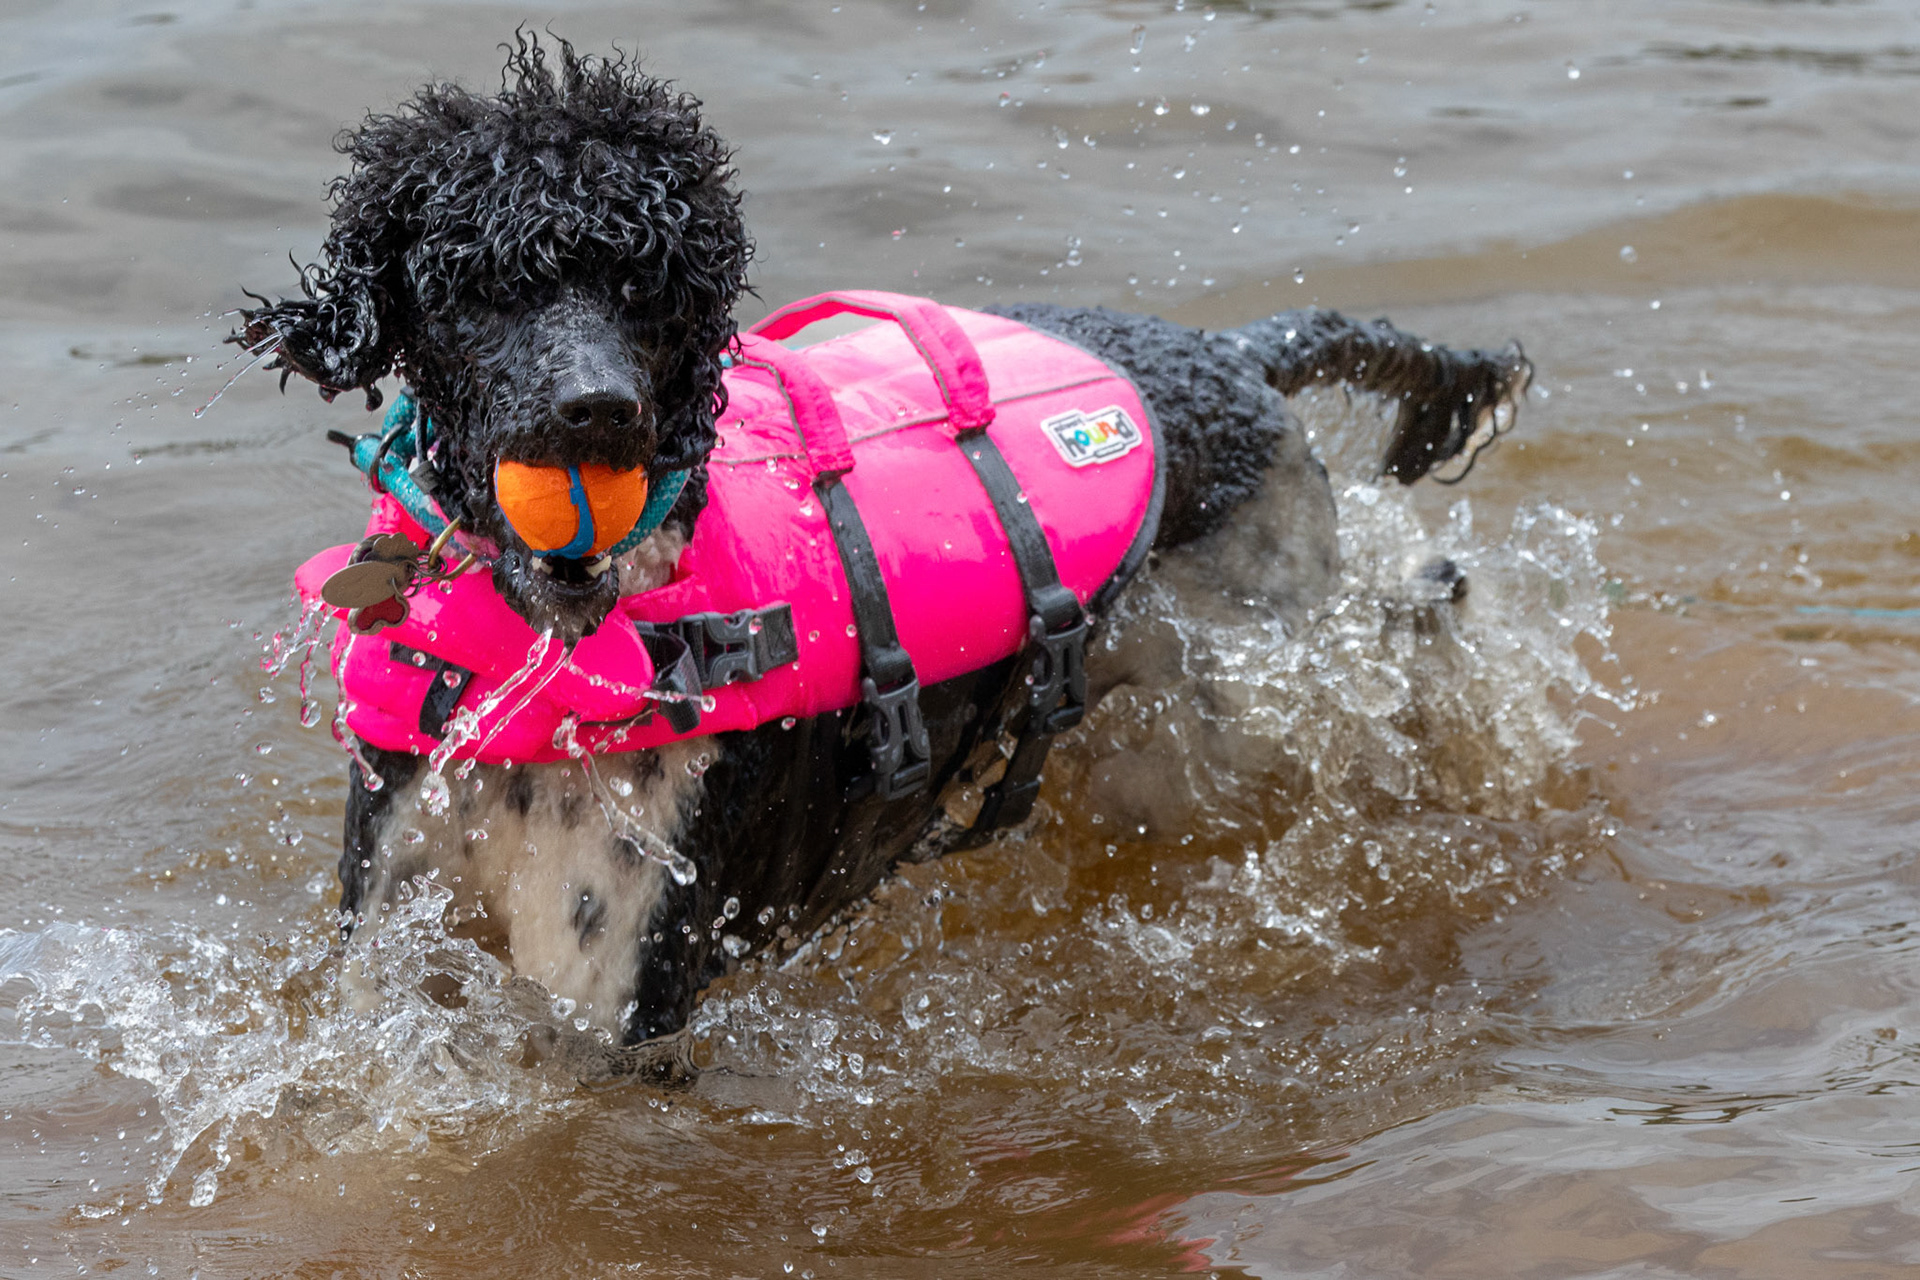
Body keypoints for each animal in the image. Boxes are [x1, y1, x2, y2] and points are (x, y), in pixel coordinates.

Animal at [237, 36, 1529, 1047]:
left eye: (650, 285)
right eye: (480, 286)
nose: (598, 413)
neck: (552, 652)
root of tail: (1233, 356)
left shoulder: (614, 989)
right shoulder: (390, 924)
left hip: (1240, 696)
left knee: (1405, 613)